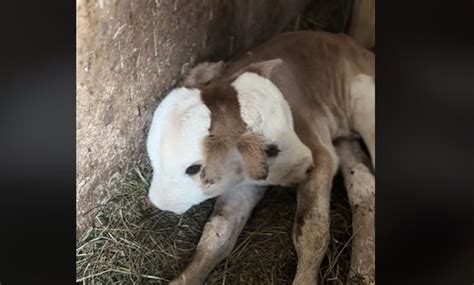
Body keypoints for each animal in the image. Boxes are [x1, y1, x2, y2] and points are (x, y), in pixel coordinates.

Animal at [146, 31, 376, 284]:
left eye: (193, 168)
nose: (158, 202)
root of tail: (352, 44)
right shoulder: (241, 185)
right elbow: (216, 234)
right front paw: (185, 278)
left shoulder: (319, 152)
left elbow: (311, 230)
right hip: (344, 138)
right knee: (363, 184)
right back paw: (362, 270)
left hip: (365, 104)